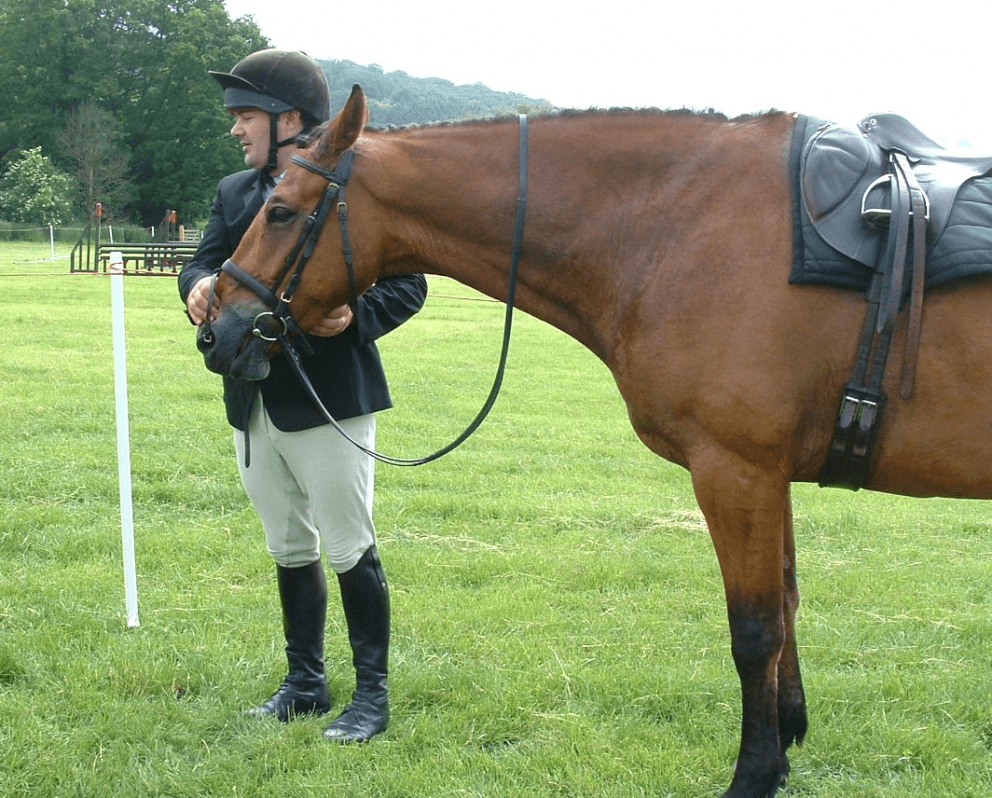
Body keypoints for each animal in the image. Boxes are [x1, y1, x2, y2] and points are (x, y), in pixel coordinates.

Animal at [195, 85, 992, 798]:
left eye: (280, 210)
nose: (216, 327)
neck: (684, 225)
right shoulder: (768, 476)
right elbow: (788, 605)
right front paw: (789, 740)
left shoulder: (736, 471)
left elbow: (755, 629)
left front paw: (756, 774)